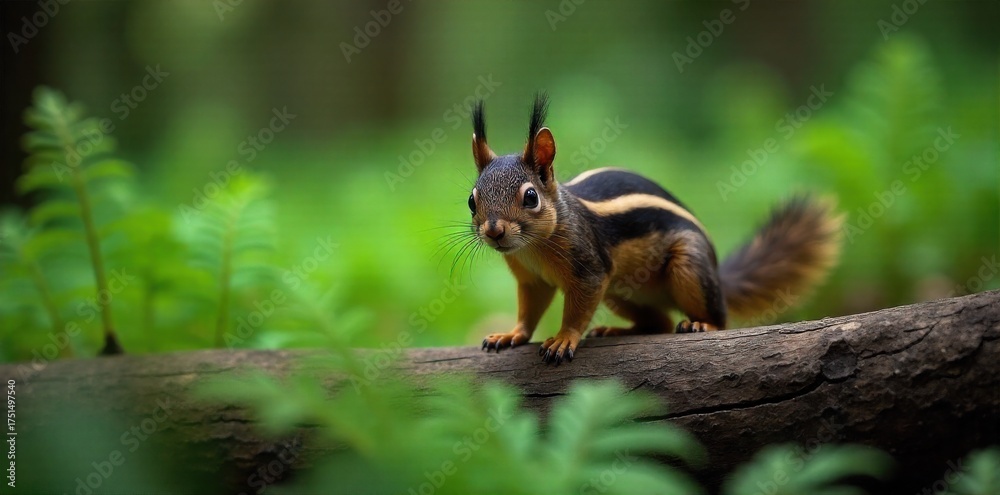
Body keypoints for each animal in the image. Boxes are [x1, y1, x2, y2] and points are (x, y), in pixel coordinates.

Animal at [468, 93, 843, 365]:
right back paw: (617, 330)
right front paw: (511, 334)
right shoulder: (532, 280)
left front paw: (563, 338)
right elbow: (529, 310)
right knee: (658, 322)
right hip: (619, 292)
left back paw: (702, 323)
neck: (533, 248)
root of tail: (718, 275)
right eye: (472, 200)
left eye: (530, 197)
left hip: (687, 267)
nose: (494, 231)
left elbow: (576, 310)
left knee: (718, 319)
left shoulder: (590, 269)